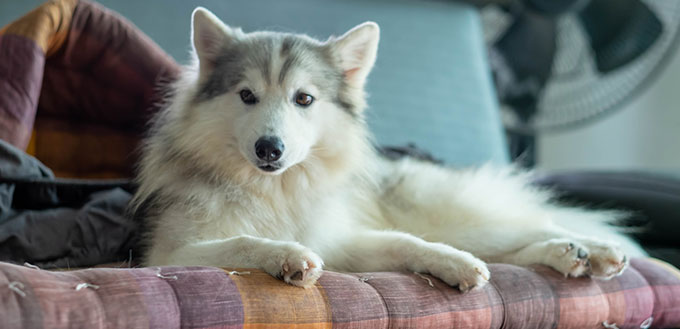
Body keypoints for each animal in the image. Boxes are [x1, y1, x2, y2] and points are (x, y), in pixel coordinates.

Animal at [131, 7, 644, 290]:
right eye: (246, 96)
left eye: (304, 99)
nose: (269, 149)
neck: (277, 190)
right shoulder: (166, 257)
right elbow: (241, 240)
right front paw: (287, 255)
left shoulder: (345, 240)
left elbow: (406, 241)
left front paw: (453, 263)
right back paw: (569, 254)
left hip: (452, 215)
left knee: (526, 225)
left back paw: (593, 248)